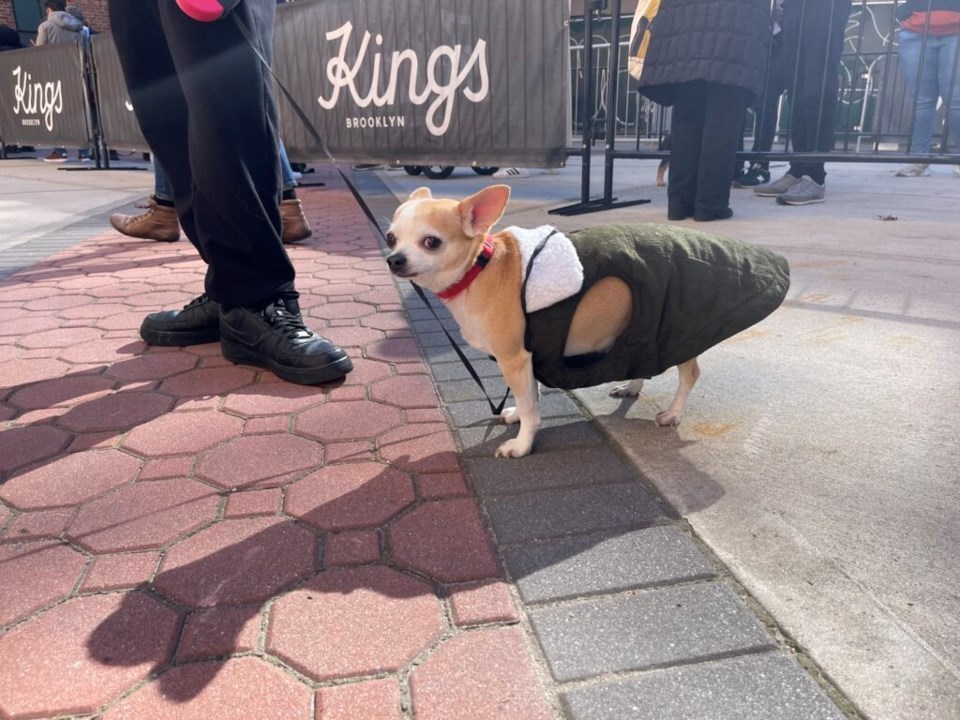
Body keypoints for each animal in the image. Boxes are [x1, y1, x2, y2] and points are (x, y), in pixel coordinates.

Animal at [386, 186, 792, 456]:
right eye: (390, 238)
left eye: (432, 242)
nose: (393, 259)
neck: (480, 268)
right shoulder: (530, 355)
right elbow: (530, 395)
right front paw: (519, 415)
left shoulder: (514, 358)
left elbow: (531, 405)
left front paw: (523, 444)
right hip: (644, 326)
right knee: (644, 356)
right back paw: (632, 385)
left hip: (680, 330)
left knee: (689, 374)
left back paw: (673, 414)